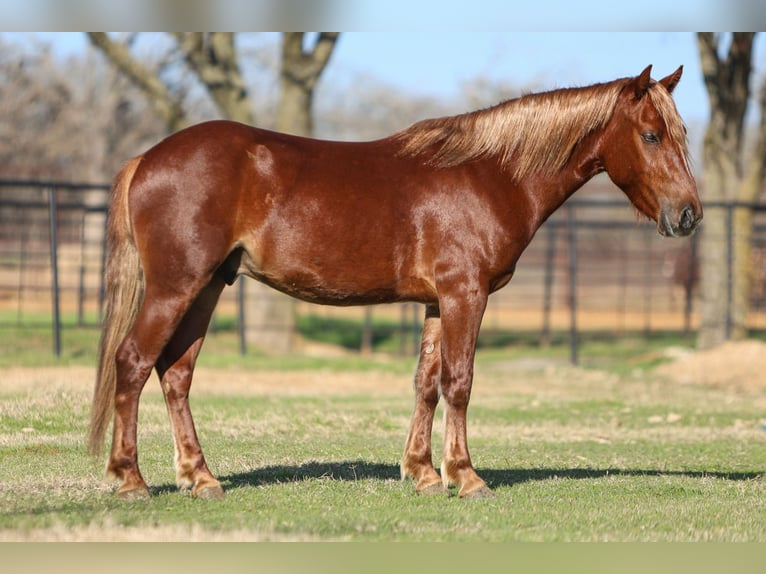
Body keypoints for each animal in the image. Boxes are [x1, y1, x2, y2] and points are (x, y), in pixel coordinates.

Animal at [88, 65, 704, 502]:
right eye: (651, 135)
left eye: (681, 133)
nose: (689, 215)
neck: (489, 174)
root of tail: (147, 158)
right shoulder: (464, 294)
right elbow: (459, 381)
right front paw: (466, 477)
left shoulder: (436, 303)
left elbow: (425, 383)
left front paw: (423, 473)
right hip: (176, 286)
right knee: (134, 363)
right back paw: (131, 479)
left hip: (209, 287)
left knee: (176, 374)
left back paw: (201, 478)